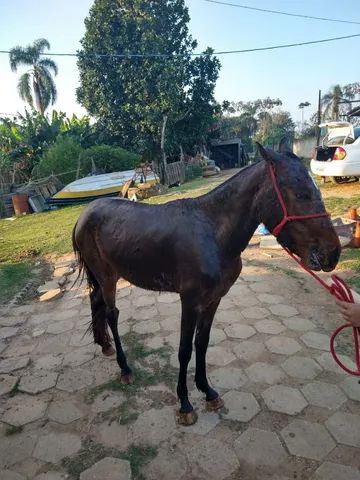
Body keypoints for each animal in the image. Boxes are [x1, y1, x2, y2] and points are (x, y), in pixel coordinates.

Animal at [72, 142, 340, 424]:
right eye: (301, 194)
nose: (332, 253)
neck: (213, 233)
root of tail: (84, 215)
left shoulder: (213, 299)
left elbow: (201, 343)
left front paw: (207, 391)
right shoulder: (189, 301)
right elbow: (184, 350)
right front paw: (185, 403)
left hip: (105, 276)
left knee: (96, 301)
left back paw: (105, 345)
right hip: (107, 277)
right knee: (111, 313)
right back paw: (124, 368)